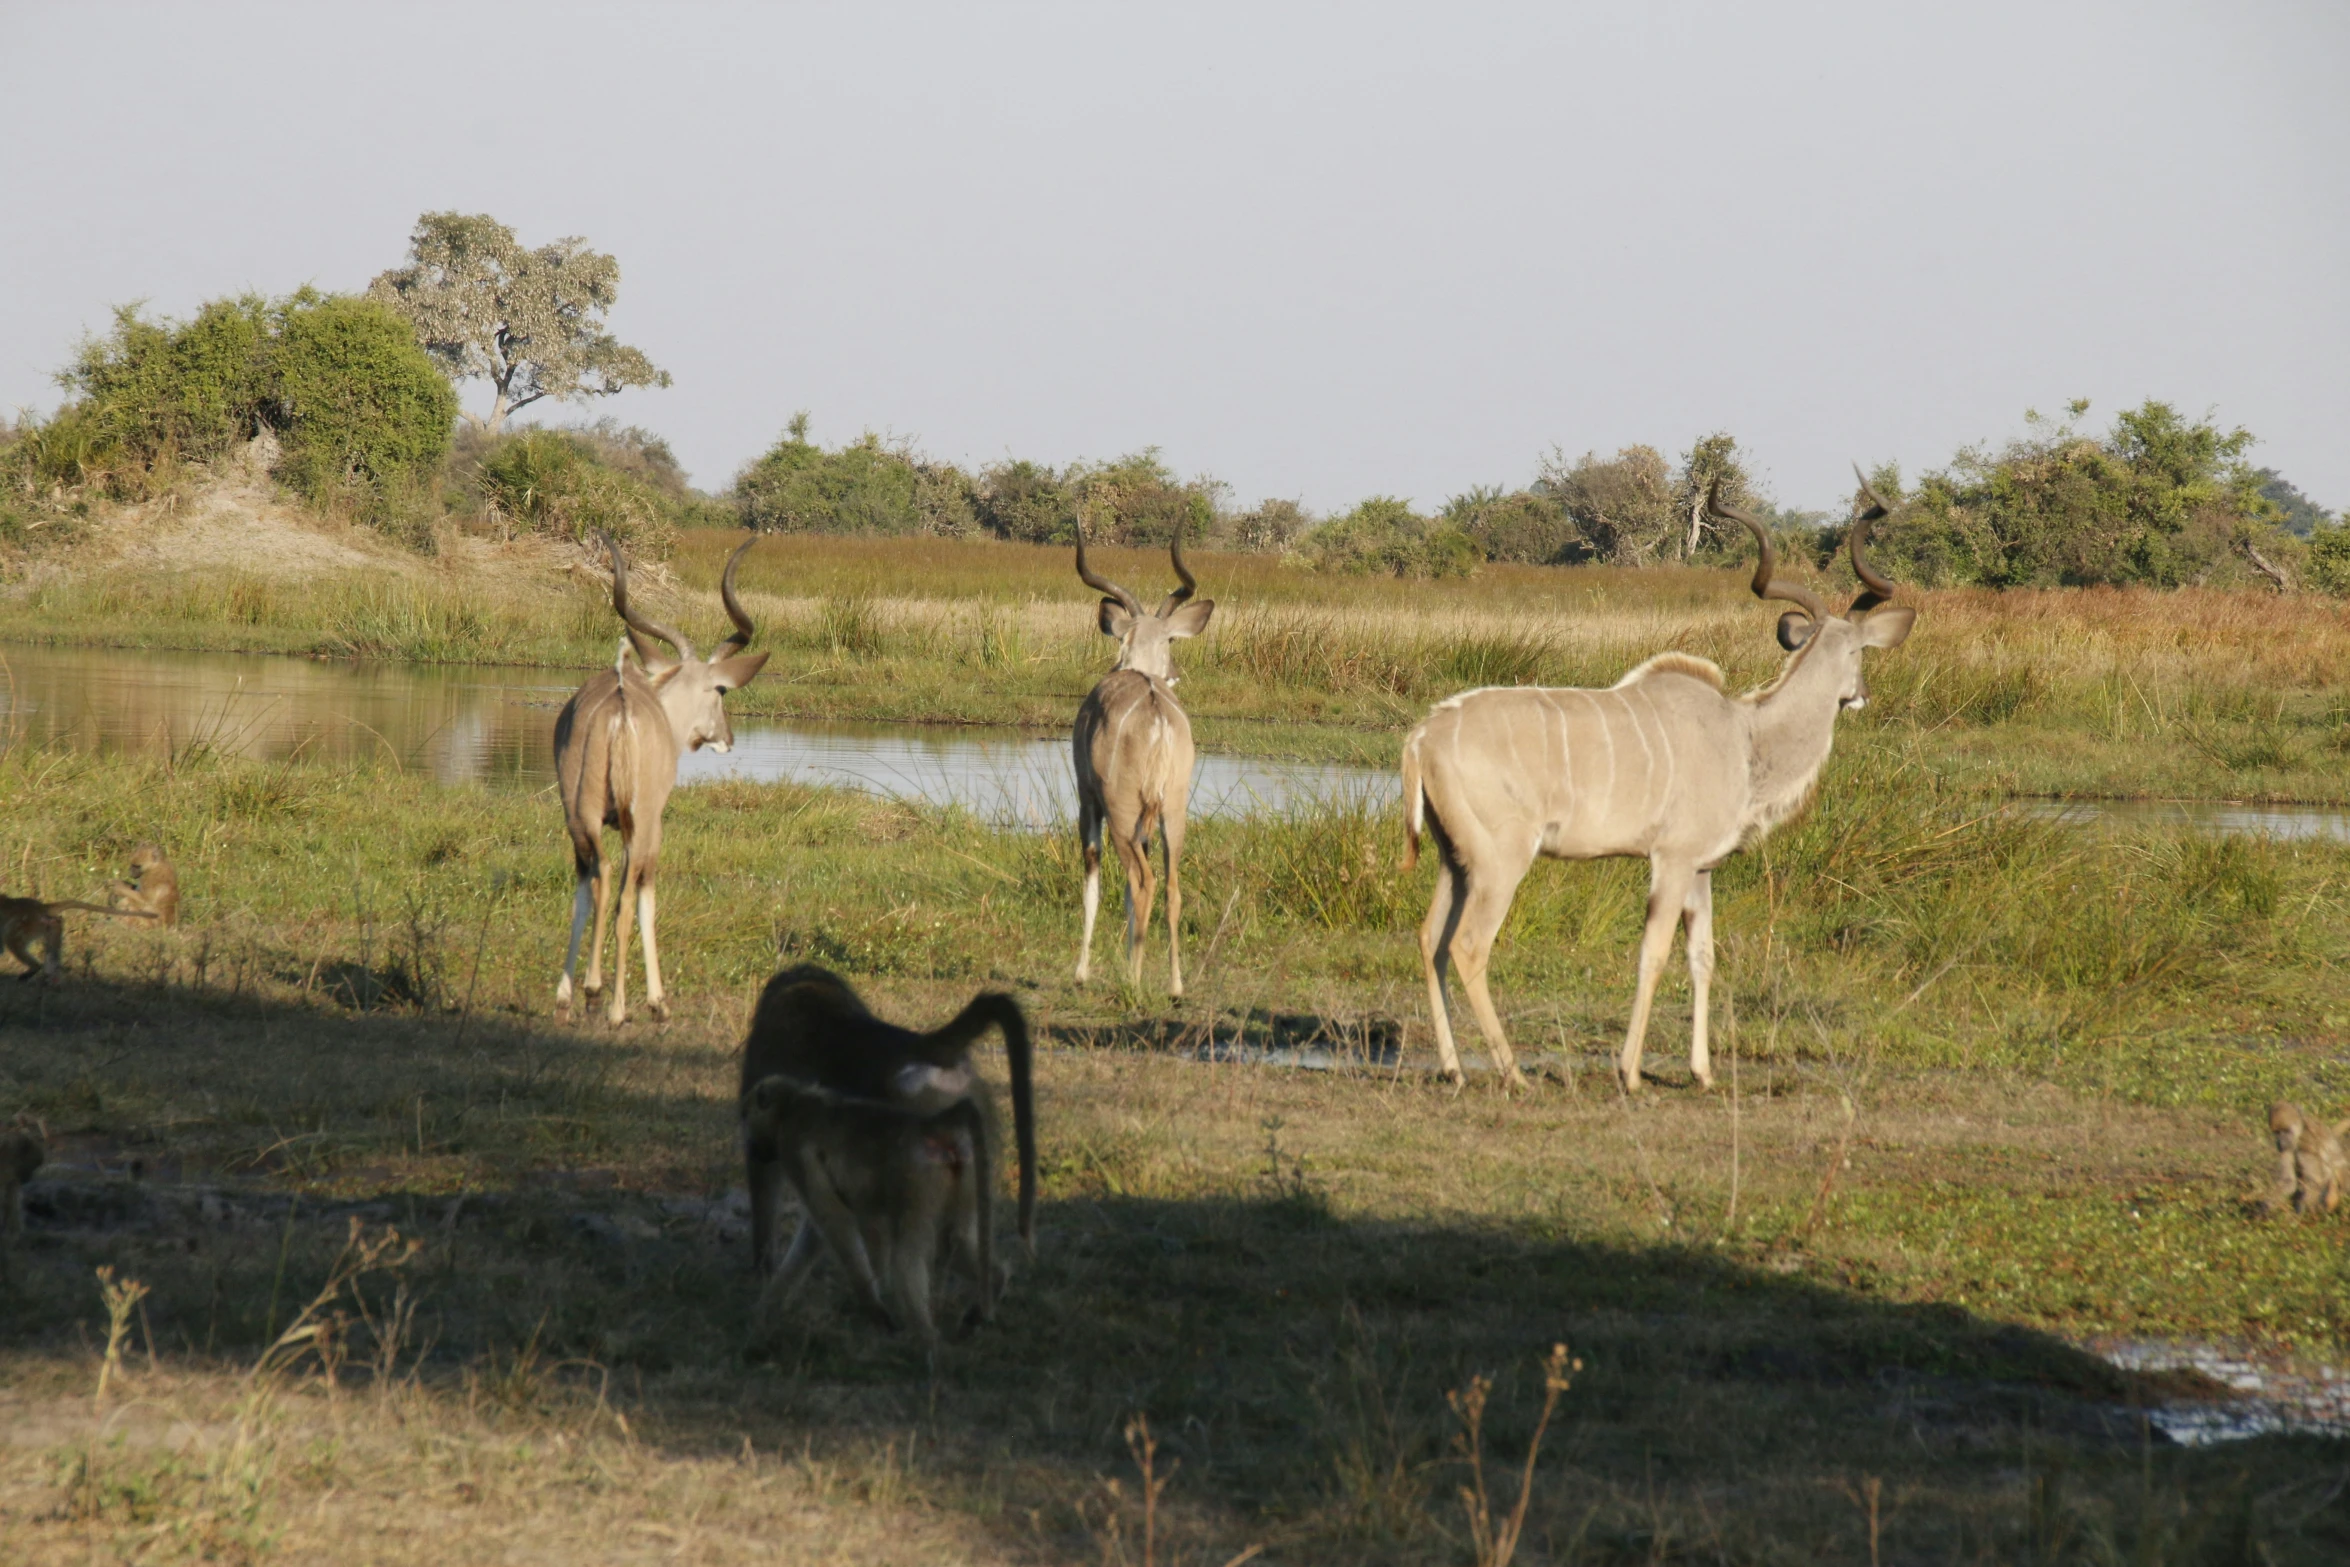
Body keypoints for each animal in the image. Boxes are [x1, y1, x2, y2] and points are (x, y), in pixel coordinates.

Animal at [552, 535, 766, 1029]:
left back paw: (578, 995)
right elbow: (646, 894)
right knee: (624, 892)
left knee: (593, 880)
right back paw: (609, 1003)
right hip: (640, 822)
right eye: (721, 691)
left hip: (581, 817)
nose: (727, 737)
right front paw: (656, 1001)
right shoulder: (653, 828)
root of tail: (620, 706)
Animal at [1066, 523, 1212, 991]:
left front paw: (1082, 972)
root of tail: (1157, 716)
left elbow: (1093, 880)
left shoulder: (1088, 800)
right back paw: (1175, 986)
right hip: (1173, 810)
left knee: (1141, 880)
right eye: (1171, 639)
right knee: (1171, 885)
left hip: (1123, 809)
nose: (1176, 673)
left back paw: (1132, 982)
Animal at [1391, 474, 1908, 1090]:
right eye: (1857, 653)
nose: (1860, 695)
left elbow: (1703, 958)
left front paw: (1703, 1073)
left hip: (1455, 860)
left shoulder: (1702, 869)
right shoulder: (1672, 860)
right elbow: (1653, 955)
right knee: (1469, 945)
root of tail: (1425, 735)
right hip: (1500, 862)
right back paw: (1514, 1074)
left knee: (1431, 939)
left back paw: (1453, 1067)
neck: (1745, 737)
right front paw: (1631, 1072)